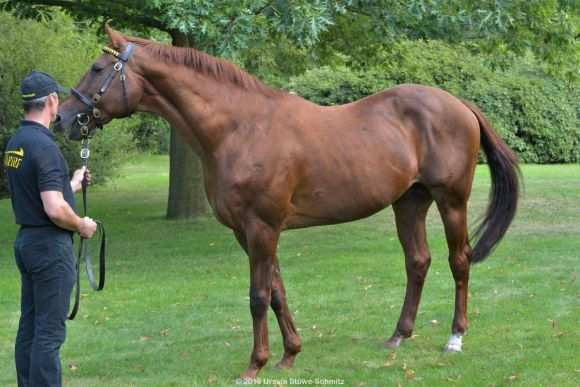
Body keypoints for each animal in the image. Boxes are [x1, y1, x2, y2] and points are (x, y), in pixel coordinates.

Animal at [55, 26, 520, 378]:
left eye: (98, 68)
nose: (62, 118)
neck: (238, 128)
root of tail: (458, 103)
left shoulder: (262, 226)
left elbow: (258, 295)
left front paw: (254, 365)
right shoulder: (248, 232)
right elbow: (277, 290)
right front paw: (289, 355)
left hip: (451, 200)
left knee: (459, 260)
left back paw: (455, 338)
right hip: (409, 202)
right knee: (417, 262)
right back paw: (398, 336)